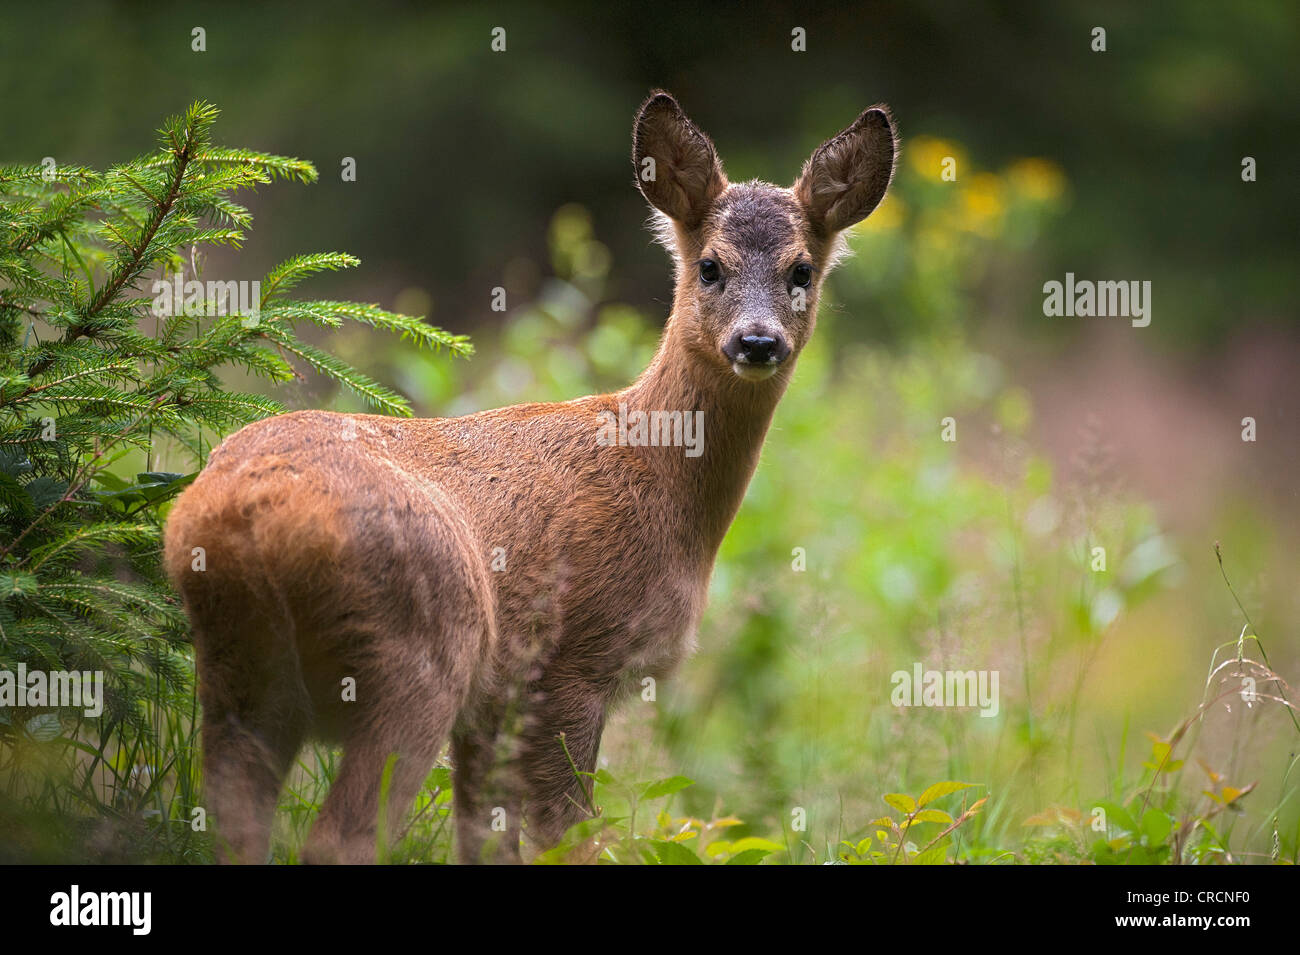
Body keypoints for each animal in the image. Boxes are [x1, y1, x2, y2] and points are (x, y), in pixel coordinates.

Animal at [159, 91, 894, 867]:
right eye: (710, 267)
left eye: (802, 270)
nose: (757, 341)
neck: (657, 475)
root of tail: (239, 517)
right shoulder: (567, 662)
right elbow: (567, 837)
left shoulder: (493, 708)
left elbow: (484, 841)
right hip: (417, 655)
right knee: (340, 836)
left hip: (241, 672)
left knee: (235, 824)